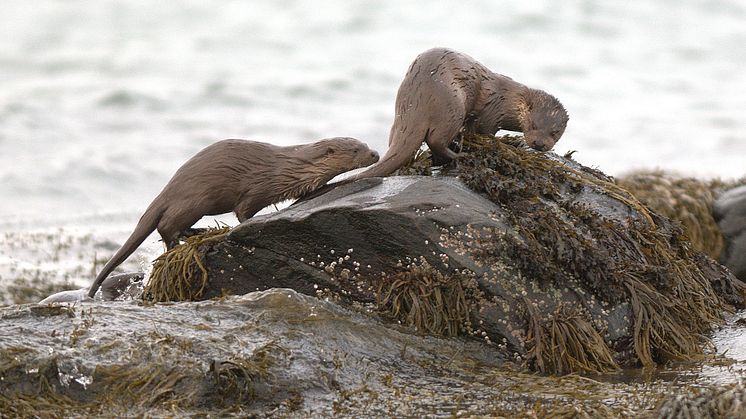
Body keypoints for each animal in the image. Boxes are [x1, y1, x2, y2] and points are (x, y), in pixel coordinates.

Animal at [87, 138, 378, 298]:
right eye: (356, 150)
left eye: (364, 144)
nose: (375, 153)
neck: (290, 168)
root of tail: (169, 188)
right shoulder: (257, 189)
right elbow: (243, 213)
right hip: (195, 199)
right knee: (166, 226)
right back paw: (179, 242)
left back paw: (196, 233)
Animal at [348, 47, 564, 179]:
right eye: (533, 125)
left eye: (555, 132)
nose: (539, 144)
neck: (510, 99)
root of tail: (418, 97)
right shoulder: (492, 112)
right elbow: (484, 132)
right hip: (453, 106)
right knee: (436, 139)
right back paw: (458, 156)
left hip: (401, 115)